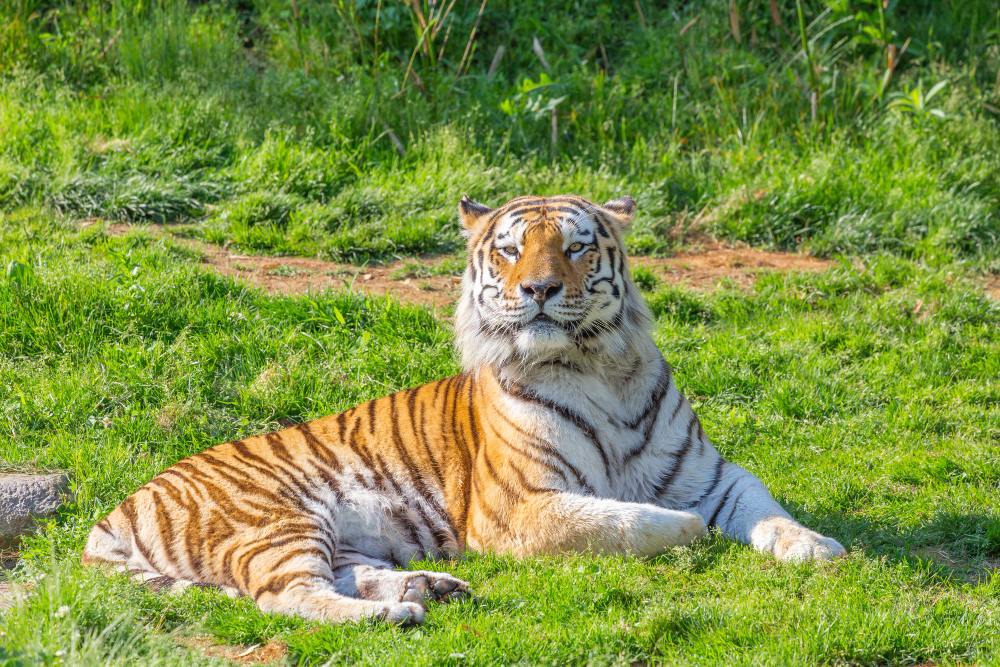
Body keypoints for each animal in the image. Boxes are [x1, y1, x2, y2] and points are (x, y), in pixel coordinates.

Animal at [82, 194, 845, 626]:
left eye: (575, 246)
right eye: (509, 251)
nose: (539, 289)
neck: (598, 367)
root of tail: (115, 509)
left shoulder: (712, 475)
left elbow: (766, 508)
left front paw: (820, 548)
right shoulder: (520, 505)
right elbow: (623, 520)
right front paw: (688, 531)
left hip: (333, 533)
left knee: (344, 572)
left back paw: (432, 587)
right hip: (273, 519)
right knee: (287, 596)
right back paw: (394, 615)